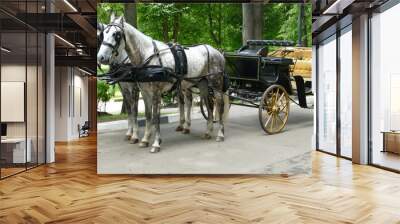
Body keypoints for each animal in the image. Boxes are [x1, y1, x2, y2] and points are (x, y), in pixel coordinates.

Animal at [96, 14, 228, 153]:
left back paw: (220, 134)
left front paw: (154, 143)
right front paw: (144, 139)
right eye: (104, 34)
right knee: (209, 105)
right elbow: (147, 115)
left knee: (219, 105)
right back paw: (207, 132)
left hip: (215, 84)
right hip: (202, 84)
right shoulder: (142, 91)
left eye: (116, 34)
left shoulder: (153, 92)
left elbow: (154, 116)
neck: (146, 56)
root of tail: (218, 52)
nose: (101, 57)